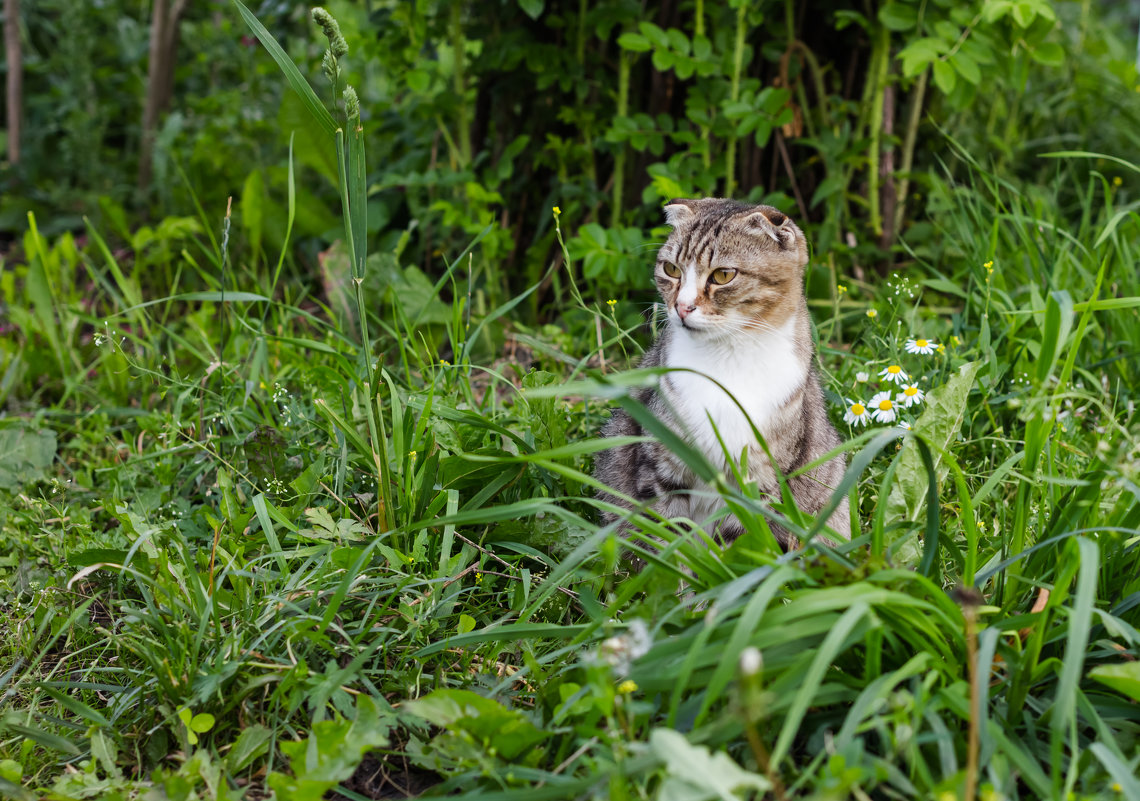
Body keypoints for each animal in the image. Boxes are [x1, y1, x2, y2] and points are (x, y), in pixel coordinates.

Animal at [597, 199, 848, 551]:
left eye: (723, 275)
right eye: (671, 269)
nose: (682, 307)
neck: (727, 357)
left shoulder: (760, 482)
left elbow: (739, 543)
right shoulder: (661, 469)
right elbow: (669, 540)